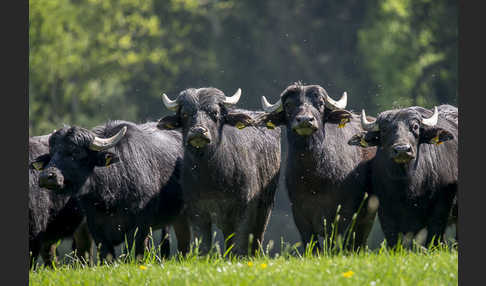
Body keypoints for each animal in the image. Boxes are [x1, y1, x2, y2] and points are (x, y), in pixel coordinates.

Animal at [159, 87, 280, 256]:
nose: (198, 131)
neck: (213, 176)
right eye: (185, 114)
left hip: (265, 206)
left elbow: (240, 243)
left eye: (214, 113)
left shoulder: (245, 208)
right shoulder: (197, 211)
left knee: (257, 237)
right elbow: (203, 246)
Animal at [256, 82, 378, 250]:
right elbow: (312, 246)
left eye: (320, 103)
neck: (314, 177)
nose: (305, 120)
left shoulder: (343, 214)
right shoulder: (300, 215)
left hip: (367, 217)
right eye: (288, 105)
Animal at [348, 104, 458, 247]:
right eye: (384, 129)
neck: (408, 187)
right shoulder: (386, 213)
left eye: (415, 127)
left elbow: (433, 239)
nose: (402, 150)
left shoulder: (440, 210)